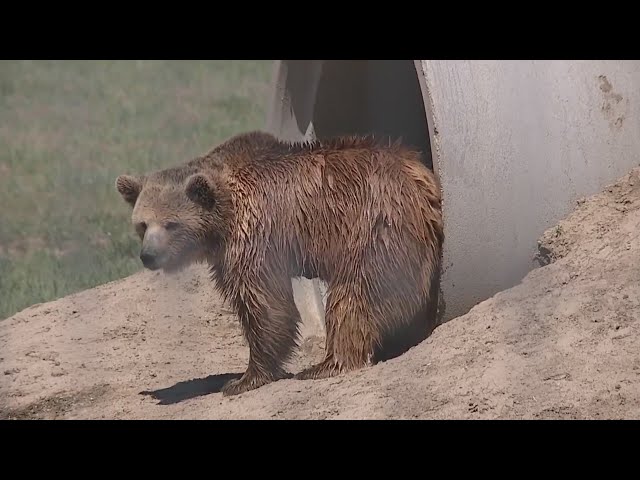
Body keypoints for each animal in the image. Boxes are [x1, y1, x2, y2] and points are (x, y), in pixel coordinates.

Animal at [116, 129, 444, 396]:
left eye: (171, 224)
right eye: (142, 224)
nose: (148, 255)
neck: (223, 218)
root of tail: (423, 180)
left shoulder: (255, 236)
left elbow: (264, 304)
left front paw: (243, 379)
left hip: (374, 230)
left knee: (354, 298)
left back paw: (325, 365)